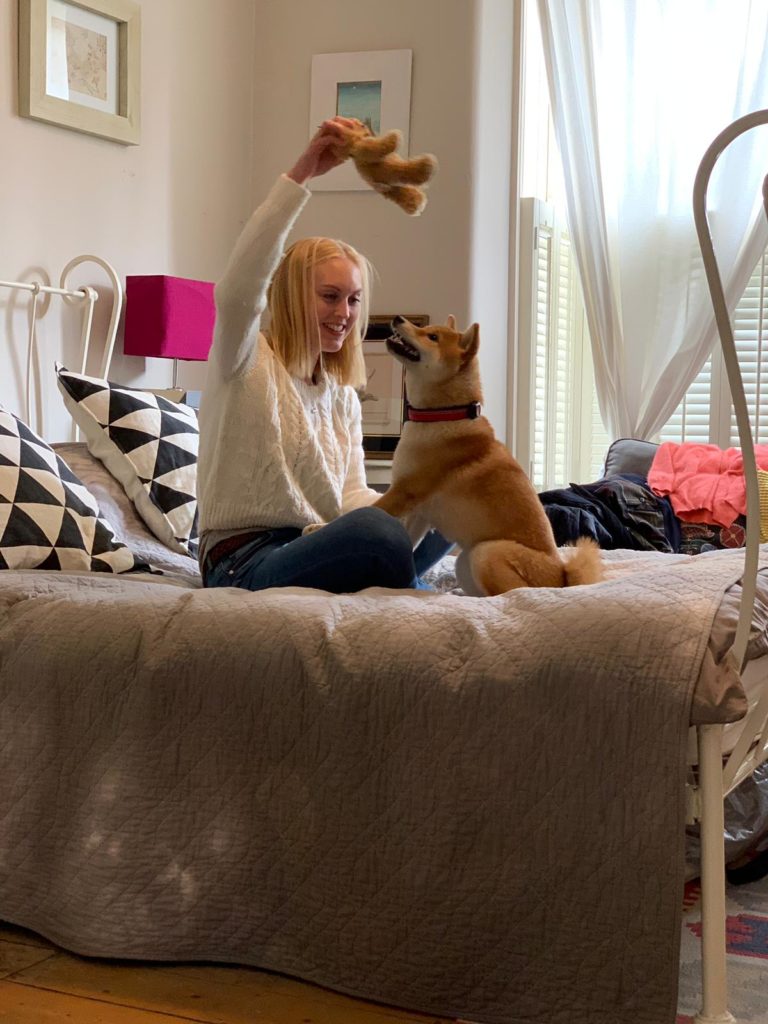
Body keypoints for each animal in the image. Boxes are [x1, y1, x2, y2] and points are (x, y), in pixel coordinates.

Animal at [374, 315, 606, 598]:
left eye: (432, 337)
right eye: (426, 330)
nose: (398, 318)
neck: (444, 415)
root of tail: (561, 578)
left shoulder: (403, 492)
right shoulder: (420, 512)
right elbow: (407, 543)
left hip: (486, 553)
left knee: (509, 594)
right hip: (466, 561)